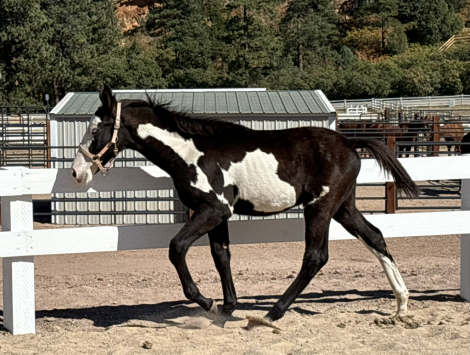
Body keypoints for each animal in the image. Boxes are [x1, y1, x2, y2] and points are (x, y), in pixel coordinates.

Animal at [70, 86, 418, 328]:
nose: (77, 172)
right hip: (344, 208)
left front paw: (207, 302)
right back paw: (400, 306)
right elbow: (221, 255)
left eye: (95, 129)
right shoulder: (219, 215)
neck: (192, 154)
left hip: (320, 208)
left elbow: (176, 247)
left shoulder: (213, 210)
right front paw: (226, 308)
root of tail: (350, 143)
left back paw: (272, 313)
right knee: (375, 237)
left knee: (315, 256)